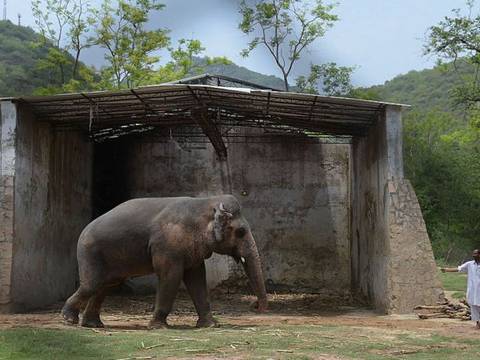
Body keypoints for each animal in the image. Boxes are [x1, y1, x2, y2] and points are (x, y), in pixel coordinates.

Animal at [61, 195, 266, 328]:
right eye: (240, 232)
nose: (255, 305)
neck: (205, 202)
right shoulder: (168, 245)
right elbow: (171, 276)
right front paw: (158, 326)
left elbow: (197, 278)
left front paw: (210, 325)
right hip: (90, 254)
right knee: (92, 284)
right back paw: (69, 319)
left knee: (105, 286)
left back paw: (92, 324)